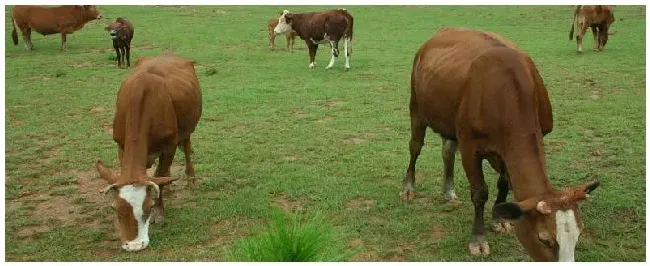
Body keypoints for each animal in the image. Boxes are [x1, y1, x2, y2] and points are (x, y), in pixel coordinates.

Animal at [95, 53, 201, 251]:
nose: (135, 245)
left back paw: (190, 179)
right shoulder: (121, 145)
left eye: (149, 207)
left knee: (186, 149)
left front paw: (160, 211)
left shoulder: (169, 145)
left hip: (186, 130)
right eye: (114, 208)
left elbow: (160, 174)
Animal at [404, 26, 596, 260]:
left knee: (447, 150)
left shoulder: (508, 150)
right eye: (543, 239)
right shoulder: (470, 146)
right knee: (415, 147)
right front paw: (478, 239)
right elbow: (480, 193)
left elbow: (503, 183)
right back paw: (408, 187)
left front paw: (500, 220)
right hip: (416, 106)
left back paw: (448, 190)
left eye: (578, 236)